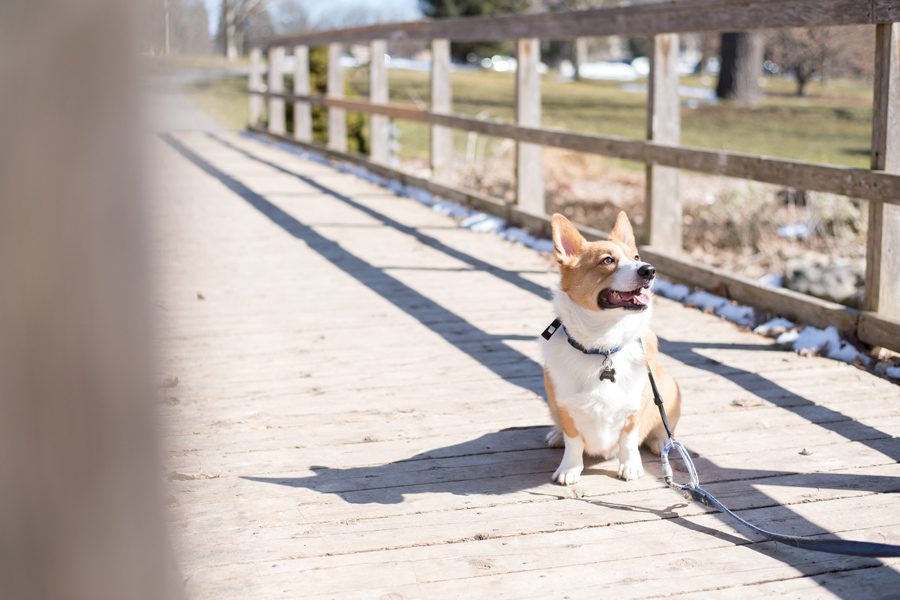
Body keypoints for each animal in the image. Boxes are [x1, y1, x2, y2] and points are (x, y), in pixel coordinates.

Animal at [540, 211, 684, 482]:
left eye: (636, 257)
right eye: (607, 260)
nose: (650, 270)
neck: (603, 344)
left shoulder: (634, 408)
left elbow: (628, 440)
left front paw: (630, 467)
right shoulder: (564, 405)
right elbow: (573, 440)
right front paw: (569, 469)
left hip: (669, 388)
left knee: (664, 429)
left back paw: (662, 443)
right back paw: (555, 435)